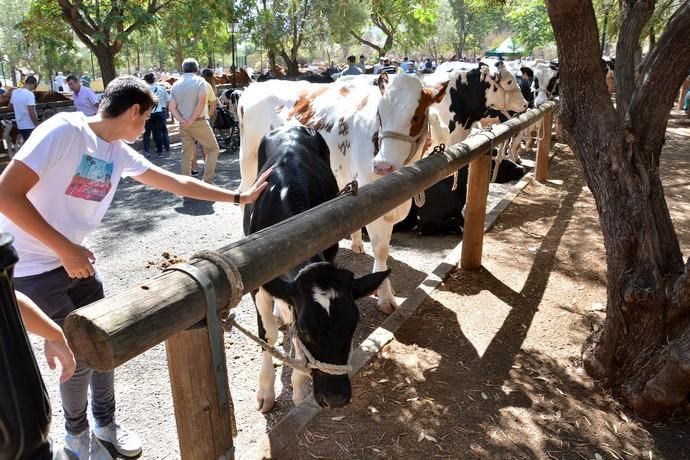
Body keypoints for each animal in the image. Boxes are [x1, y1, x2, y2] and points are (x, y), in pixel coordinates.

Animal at [238, 73, 446, 314]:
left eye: (416, 116)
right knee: (243, 195)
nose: (383, 166)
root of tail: (257, 86)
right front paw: (385, 296)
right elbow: (381, 249)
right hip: (248, 161)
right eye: (380, 114)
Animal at [243, 126, 390, 414]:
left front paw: (300, 386)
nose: (336, 398)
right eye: (306, 330)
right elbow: (269, 335)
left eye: (353, 324)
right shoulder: (258, 282)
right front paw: (265, 391)